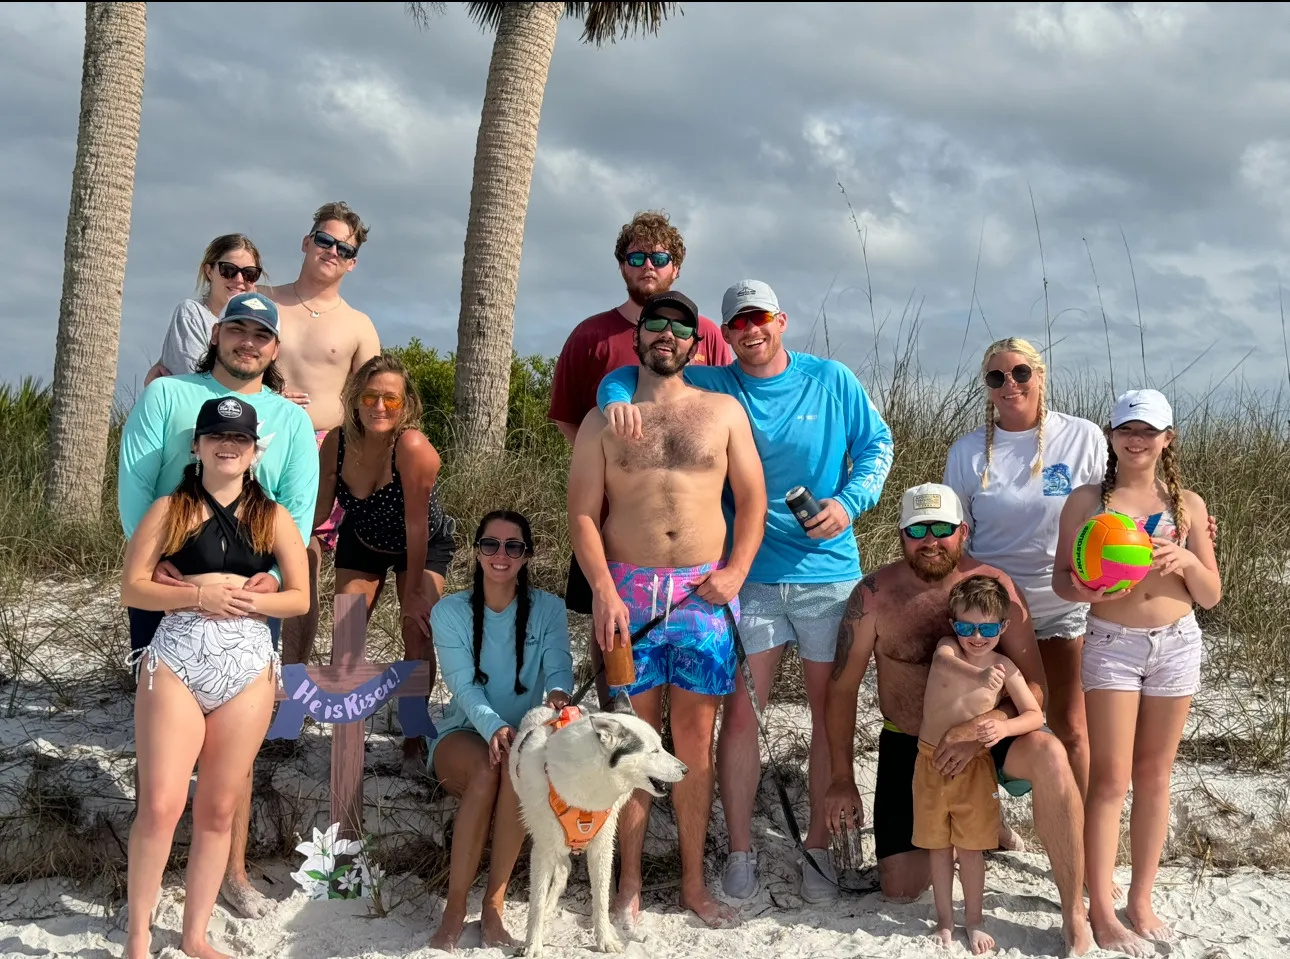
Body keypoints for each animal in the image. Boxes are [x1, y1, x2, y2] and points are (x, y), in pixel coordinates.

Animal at [508, 691, 687, 957]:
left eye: (661, 747)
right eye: (654, 751)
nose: (686, 770)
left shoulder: (602, 847)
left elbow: (601, 899)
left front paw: (605, 939)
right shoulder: (543, 850)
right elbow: (536, 901)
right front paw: (533, 944)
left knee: (565, 869)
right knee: (561, 869)